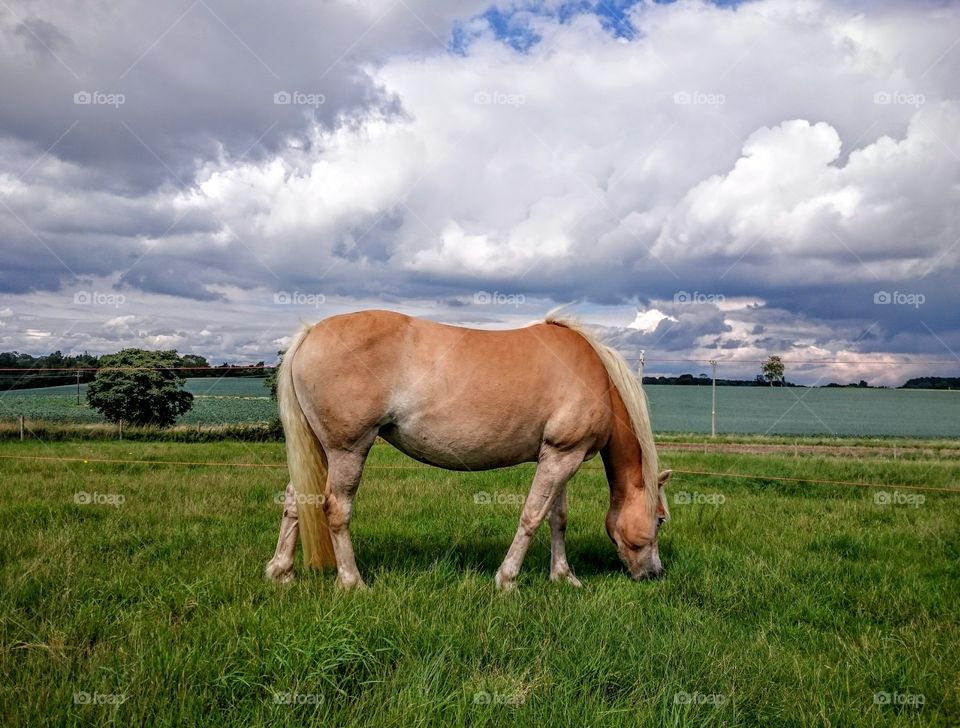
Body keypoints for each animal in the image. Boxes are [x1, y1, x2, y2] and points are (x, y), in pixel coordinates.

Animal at [262, 310, 668, 588]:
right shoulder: (560, 457)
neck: (596, 379)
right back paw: (352, 582)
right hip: (347, 450)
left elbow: (557, 519)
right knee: (335, 509)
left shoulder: (563, 457)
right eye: (661, 519)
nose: (654, 573)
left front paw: (564, 577)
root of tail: (310, 333)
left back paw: (281, 572)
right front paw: (507, 580)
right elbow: (532, 517)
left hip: (319, 450)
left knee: (297, 498)